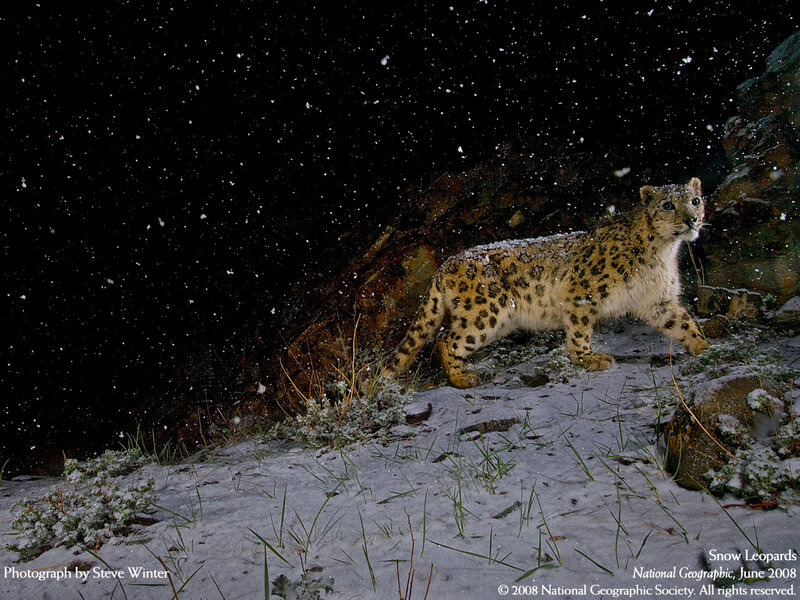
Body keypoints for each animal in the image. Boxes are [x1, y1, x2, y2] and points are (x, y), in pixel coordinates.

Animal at [386, 177, 710, 388]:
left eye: (695, 200)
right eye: (668, 204)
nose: (691, 219)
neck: (663, 252)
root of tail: (447, 263)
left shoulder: (657, 300)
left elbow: (682, 323)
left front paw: (705, 347)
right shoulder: (582, 293)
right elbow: (579, 332)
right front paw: (588, 359)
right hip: (487, 314)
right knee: (445, 340)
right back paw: (463, 378)